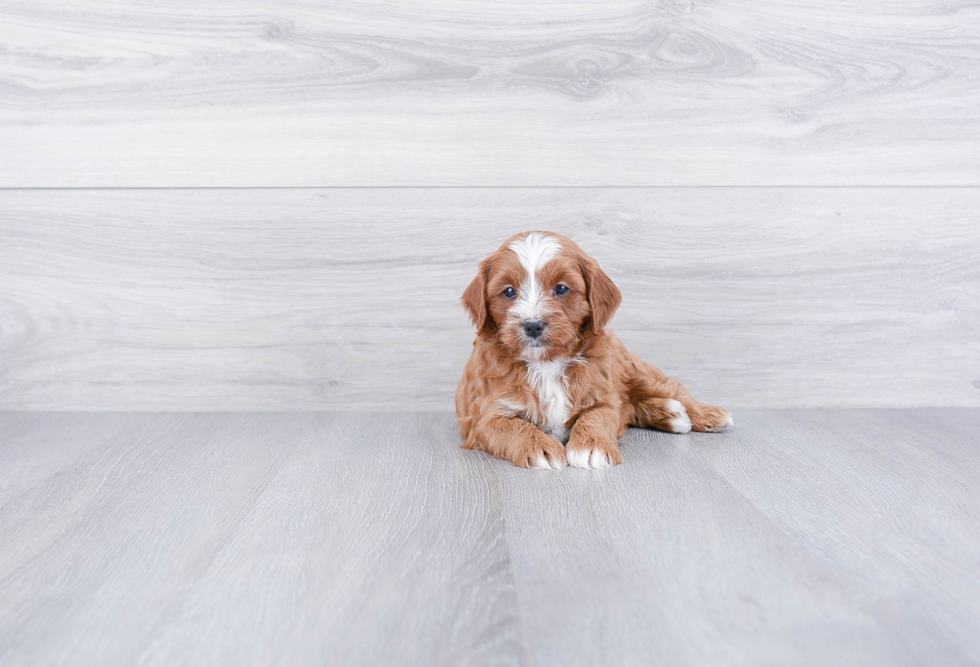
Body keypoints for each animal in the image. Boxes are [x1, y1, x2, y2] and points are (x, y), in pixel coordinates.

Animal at [456, 232, 732, 472]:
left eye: (561, 288)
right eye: (509, 291)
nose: (533, 325)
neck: (547, 362)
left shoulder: (604, 396)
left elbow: (597, 416)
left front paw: (591, 447)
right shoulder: (487, 417)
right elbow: (512, 428)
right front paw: (540, 448)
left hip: (633, 368)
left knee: (667, 389)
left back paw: (706, 414)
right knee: (633, 406)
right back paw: (671, 414)